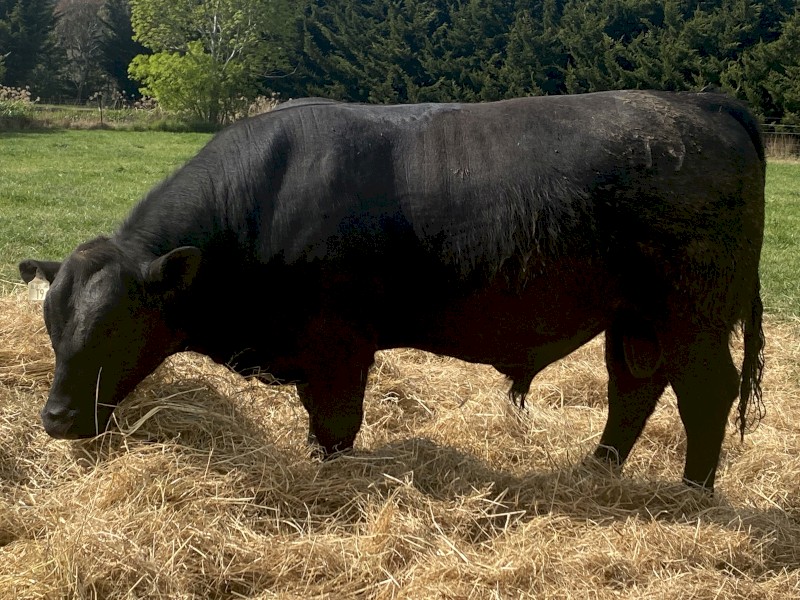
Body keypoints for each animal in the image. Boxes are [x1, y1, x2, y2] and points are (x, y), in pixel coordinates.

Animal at [19, 90, 765, 492]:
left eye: (115, 325)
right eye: (52, 325)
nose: (56, 418)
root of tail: (698, 102)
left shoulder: (336, 348)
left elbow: (334, 429)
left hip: (692, 315)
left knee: (705, 394)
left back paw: (693, 494)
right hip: (635, 318)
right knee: (633, 388)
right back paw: (599, 470)